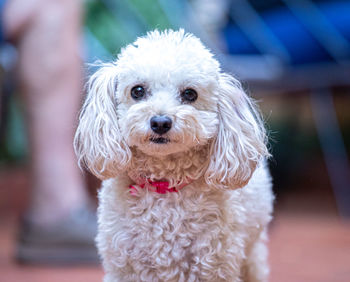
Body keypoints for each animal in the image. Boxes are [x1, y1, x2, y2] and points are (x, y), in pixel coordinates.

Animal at [75, 29, 274, 280]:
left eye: (190, 94)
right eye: (137, 91)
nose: (160, 122)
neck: (164, 186)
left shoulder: (213, 265)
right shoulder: (124, 267)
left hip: (251, 253)